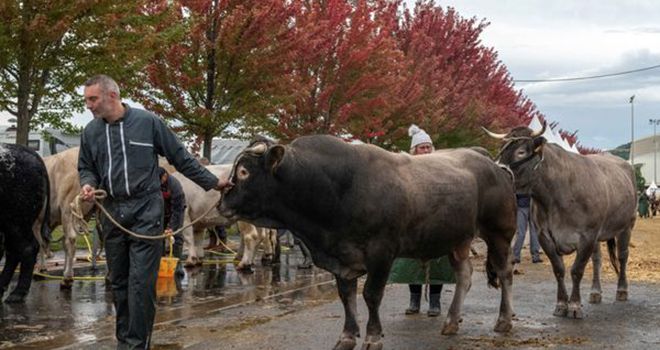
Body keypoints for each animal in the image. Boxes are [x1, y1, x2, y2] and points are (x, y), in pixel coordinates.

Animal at [219, 135, 520, 348]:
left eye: (244, 172)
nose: (221, 204)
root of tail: (493, 164)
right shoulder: (342, 257)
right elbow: (347, 296)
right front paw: (347, 335)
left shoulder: (381, 252)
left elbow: (371, 295)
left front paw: (373, 337)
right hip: (458, 239)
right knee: (464, 276)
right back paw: (451, 321)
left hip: (499, 233)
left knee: (504, 272)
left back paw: (504, 320)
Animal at [482, 121, 636, 318]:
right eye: (502, 149)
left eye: (521, 152)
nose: (496, 172)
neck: (556, 196)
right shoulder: (545, 236)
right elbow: (559, 270)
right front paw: (562, 304)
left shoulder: (587, 236)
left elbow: (577, 270)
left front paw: (575, 305)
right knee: (597, 260)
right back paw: (595, 292)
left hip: (626, 225)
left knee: (623, 256)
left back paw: (622, 290)